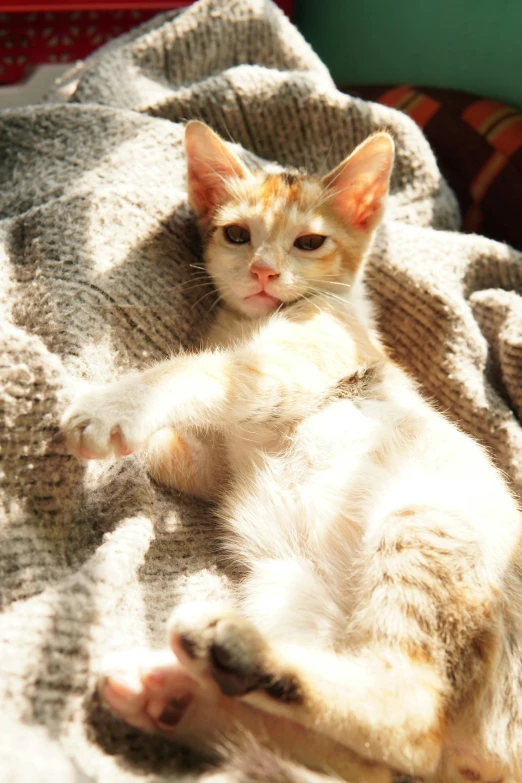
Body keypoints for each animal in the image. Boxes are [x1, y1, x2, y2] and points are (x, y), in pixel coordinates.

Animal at [60, 122, 520, 783]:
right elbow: (185, 450)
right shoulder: (218, 463)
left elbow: (194, 373)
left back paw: (228, 657)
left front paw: (108, 405)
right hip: (287, 584)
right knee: (366, 761)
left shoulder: (283, 368)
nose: (263, 271)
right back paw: (177, 698)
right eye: (236, 233)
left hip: (423, 524)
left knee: (409, 716)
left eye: (309, 242)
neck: (250, 325)